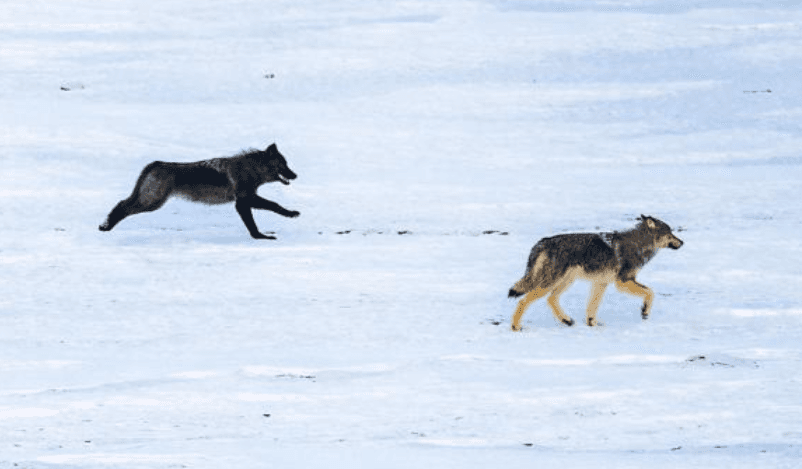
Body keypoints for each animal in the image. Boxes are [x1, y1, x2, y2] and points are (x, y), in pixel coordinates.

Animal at [99, 143, 299, 239]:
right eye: (283, 164)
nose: (295, 175)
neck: (251, 169)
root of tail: (155, 163)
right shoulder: (243, 200)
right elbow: (272, 206)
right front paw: (263, 235)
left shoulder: (244, 201)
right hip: (152, 202)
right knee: (123, 206)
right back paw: (106, 226)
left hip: (151, 201)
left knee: (122, 203)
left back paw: (105, 225)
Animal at [508, 216, 683, 331]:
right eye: (670, 233)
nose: (682, 242)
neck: (639, 244)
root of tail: (543, 242)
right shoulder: (623, 281)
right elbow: (650, 292)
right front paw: (645, 311)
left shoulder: (601, 283)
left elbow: (592, 307)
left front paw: (592, 325)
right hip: (551, 283)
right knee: (523, 301)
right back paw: (516, 327)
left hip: (564, 282)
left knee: (551, 299)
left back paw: (566, 321)